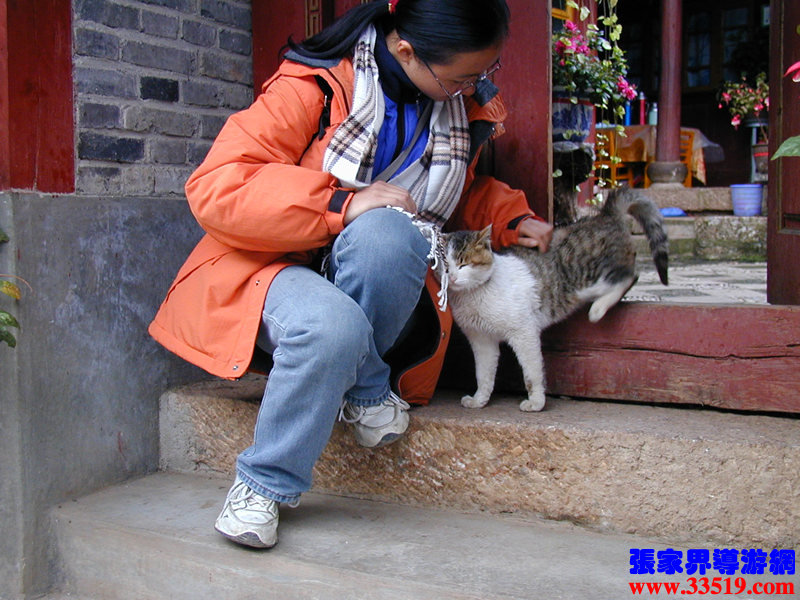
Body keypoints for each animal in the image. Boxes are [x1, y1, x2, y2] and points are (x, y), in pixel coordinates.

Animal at [437, 187, 668, 412]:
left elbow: (532, 373)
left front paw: (536, 403)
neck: (473, 295)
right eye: (445, 266)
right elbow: (483, 374)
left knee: (628, 276)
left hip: (591, 278)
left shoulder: (524, 333)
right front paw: (479, 400)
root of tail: (605, 215)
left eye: (464, 264)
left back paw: (598, 308)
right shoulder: (481, 340)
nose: (452, 277)